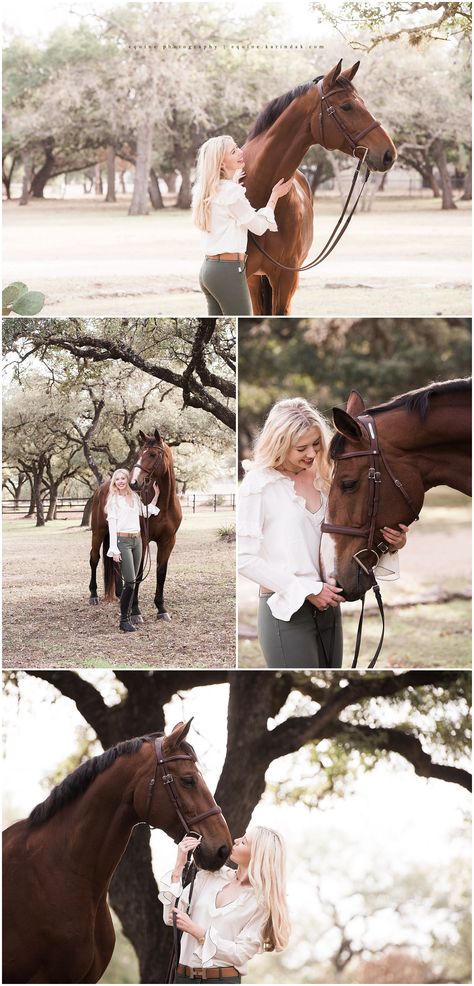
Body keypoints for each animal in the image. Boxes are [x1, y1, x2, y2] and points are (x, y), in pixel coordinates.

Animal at [89, 426, 183, 620]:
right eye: (139, 453)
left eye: (153, 454)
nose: (133, 483)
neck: (163, 504)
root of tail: (102, 487)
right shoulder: (143, 540)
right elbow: (138, 571)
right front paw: (135, 611)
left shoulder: (168, 541)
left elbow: (161, 572)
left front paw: (161, 609)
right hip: (98, 532)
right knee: (94, 559)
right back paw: (93, 595)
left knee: (116, 562)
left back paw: (119, 593)